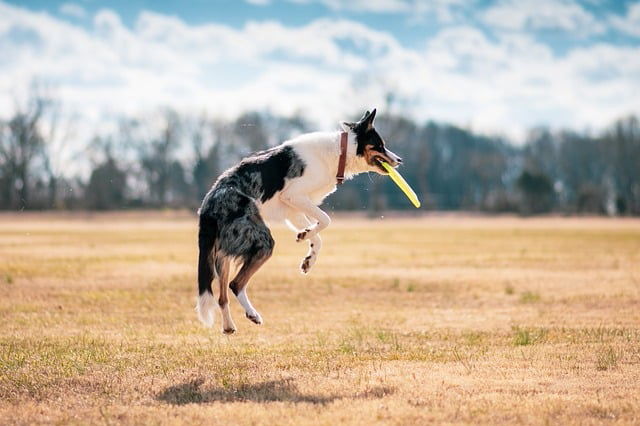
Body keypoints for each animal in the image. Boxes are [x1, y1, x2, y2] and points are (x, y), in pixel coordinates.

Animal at [198, 109, 402, 332]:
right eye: (380, 145)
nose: (400, 160)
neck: (339, 152)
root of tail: (209, 205)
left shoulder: (293, 209)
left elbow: (318, 236)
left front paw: (308, 255)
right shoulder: (294, 196)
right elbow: (326, 220)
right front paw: (306, 236)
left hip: (223, 255)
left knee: (222, 295)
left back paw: (228, 326)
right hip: (261, 241)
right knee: (235, 284)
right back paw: (252, 314)